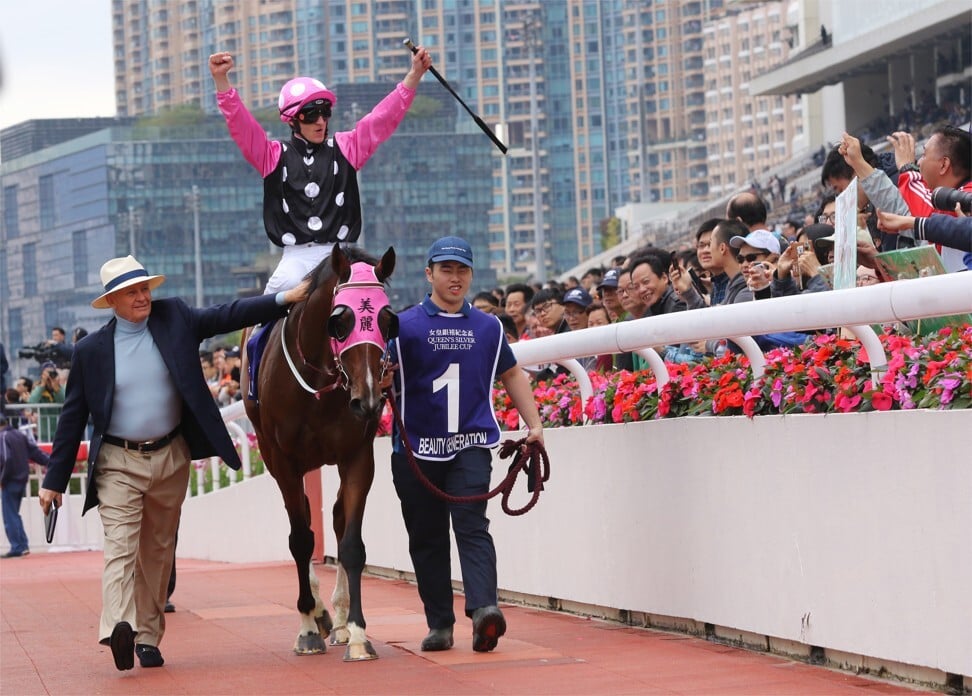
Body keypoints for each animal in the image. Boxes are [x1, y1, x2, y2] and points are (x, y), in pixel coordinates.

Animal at [245, 246, 396, 664]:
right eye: (340, 321)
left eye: (387, 320)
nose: (369, 399)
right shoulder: (283, 460)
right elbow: (300, 539)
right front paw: (308, 628)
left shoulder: (358, 455)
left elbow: (351, 543)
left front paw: (358, 633)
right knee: (304, 526)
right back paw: (317, 613)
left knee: (335, 520)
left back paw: (338, 620)